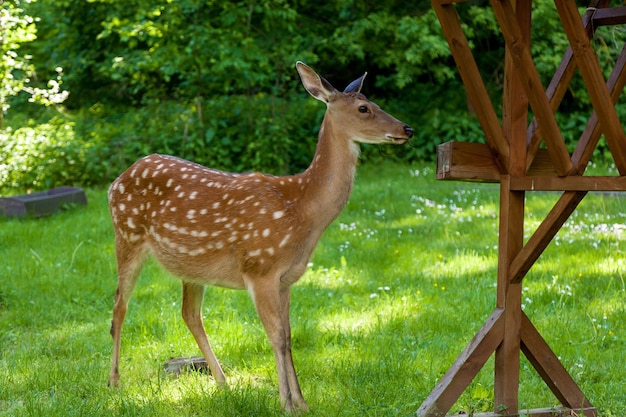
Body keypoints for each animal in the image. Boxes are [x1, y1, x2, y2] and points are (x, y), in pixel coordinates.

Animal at [107, 61, 410, 410]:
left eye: (373, 102)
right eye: (364, 108)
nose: (407, 129)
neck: (302, 211)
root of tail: (116, 181)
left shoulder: (287, 279)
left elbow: (288, 336)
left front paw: (302, 403)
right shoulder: (260, 268)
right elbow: (276, 336)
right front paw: (286, 404)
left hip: (190, 266)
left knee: (190, 314)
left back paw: (223, 384)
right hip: (127, 236)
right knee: (119, 307)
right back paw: (114, 382)